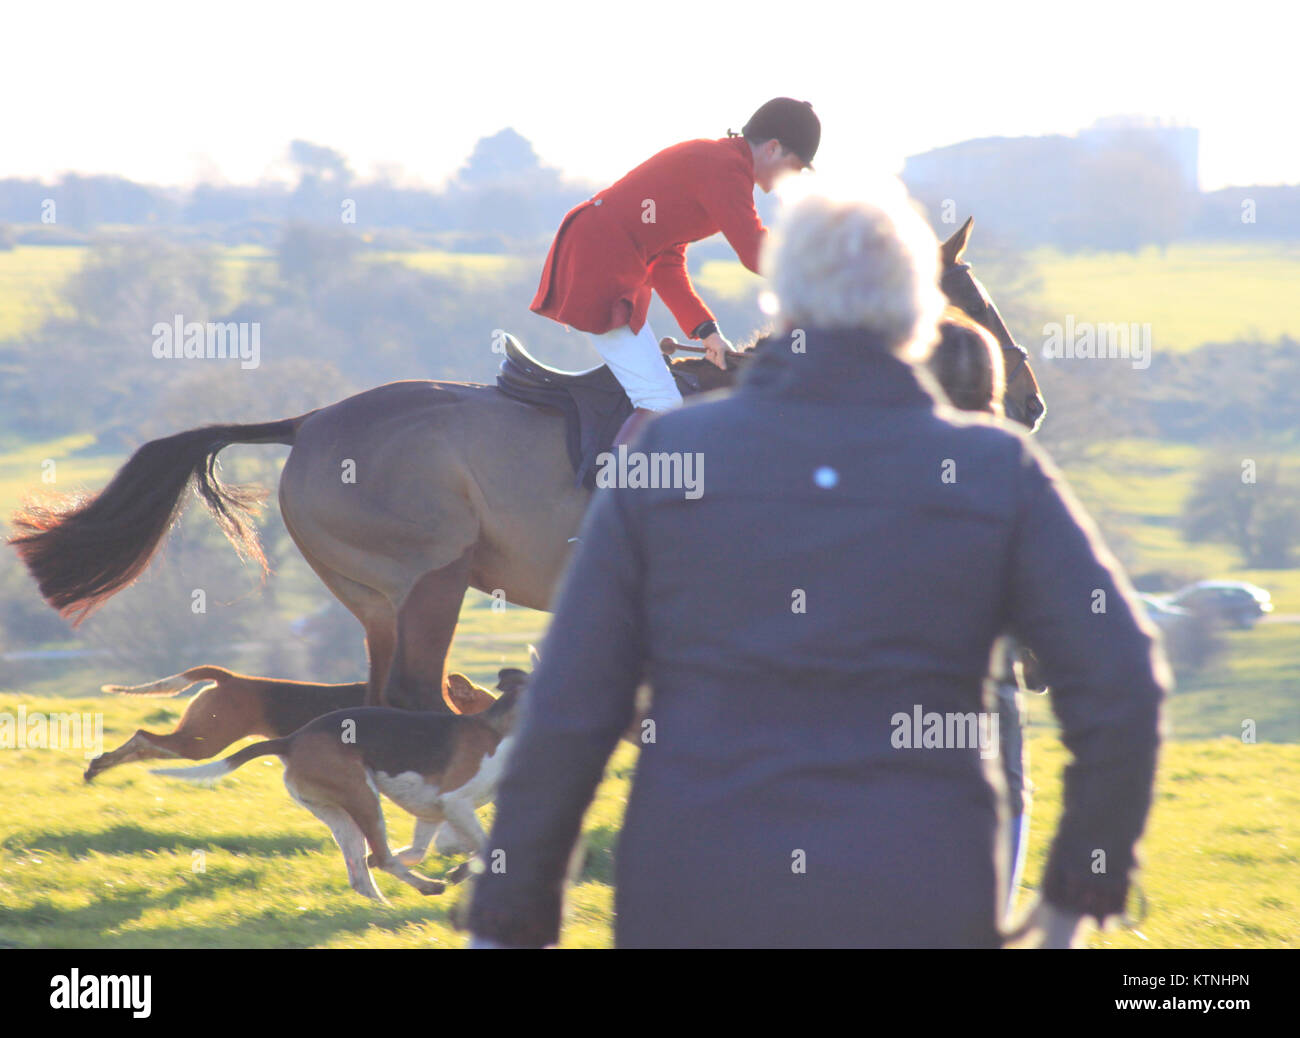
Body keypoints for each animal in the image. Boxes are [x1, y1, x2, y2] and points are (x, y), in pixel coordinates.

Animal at [9, 219, 1044, 713]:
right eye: (967, 299)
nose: (1027, 399)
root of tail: (309, 424)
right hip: (432, 579)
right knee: (418, 698)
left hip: (379, 601)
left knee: (382, 700)